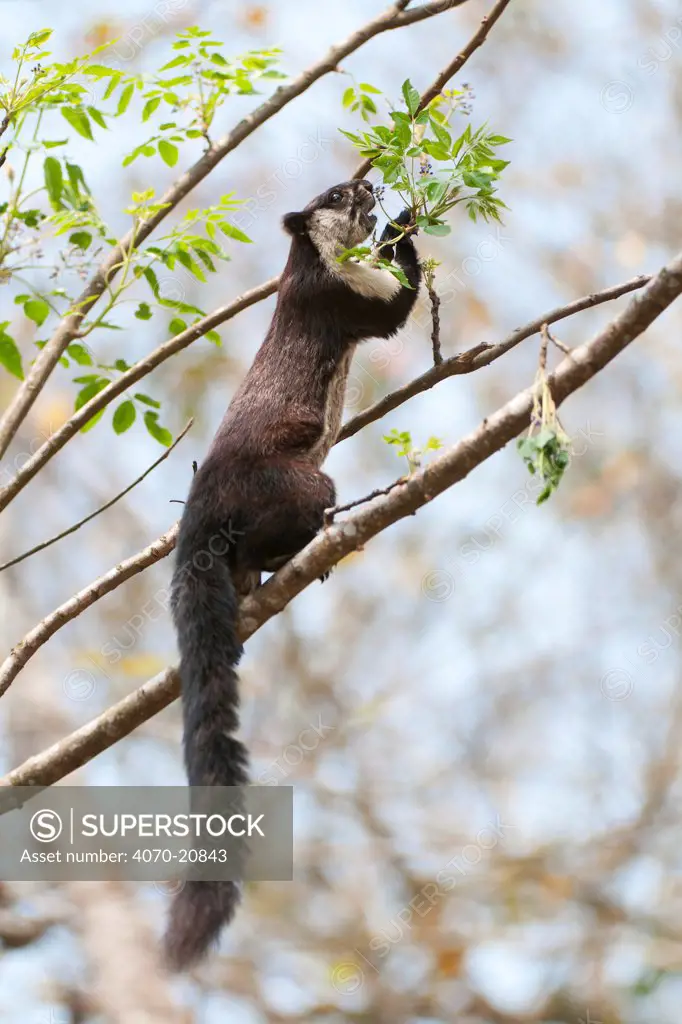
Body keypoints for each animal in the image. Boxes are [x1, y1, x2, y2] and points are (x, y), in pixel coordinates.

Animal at [164, 180, 419, 970]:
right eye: (337, 195)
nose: (368, 183)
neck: (307, 262)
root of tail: (200, 508)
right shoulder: (347, 298)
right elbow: (399, 301)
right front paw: (411, 217)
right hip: (305, 483)